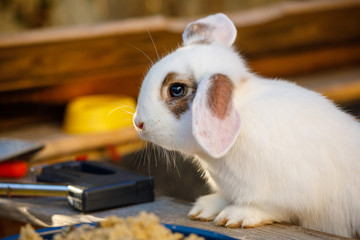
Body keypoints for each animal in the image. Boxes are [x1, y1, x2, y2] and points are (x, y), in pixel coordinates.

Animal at [134, 12, 360, 238]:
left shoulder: (293, 194)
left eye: (176, 89)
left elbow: (274, 208)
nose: (138, 123)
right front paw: (203, 209)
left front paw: (235, 216)